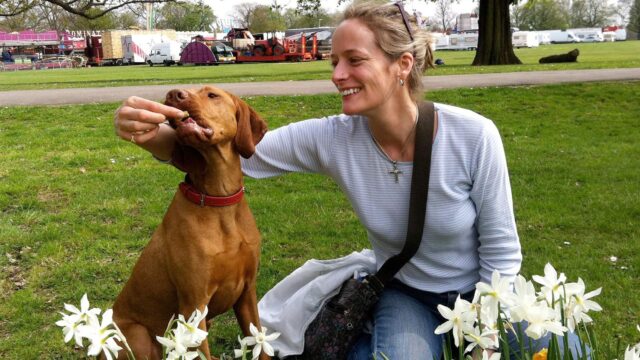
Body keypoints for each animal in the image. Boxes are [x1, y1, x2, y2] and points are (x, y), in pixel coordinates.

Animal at [112, 86, 268, 358]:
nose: (173, 94)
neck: (219, 201)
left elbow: (260, 342)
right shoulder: (193, 302)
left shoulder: (247, 292)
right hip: (138, 335)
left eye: (212, 95)